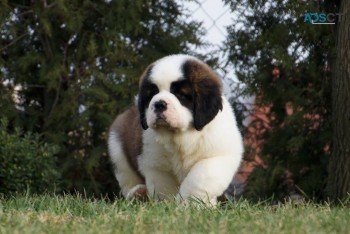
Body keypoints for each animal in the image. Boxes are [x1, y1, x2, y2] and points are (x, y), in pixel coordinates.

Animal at [107, 54, 243, 205]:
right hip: (117, 149)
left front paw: (189, 203)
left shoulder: (218, 155)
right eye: (152, 95)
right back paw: (138, 193)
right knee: (127, 179)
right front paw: (169, 205)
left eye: (181, 95)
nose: (159, 104)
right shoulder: (156, 164)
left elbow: (198, 178)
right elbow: (165, 187)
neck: (180, 136)